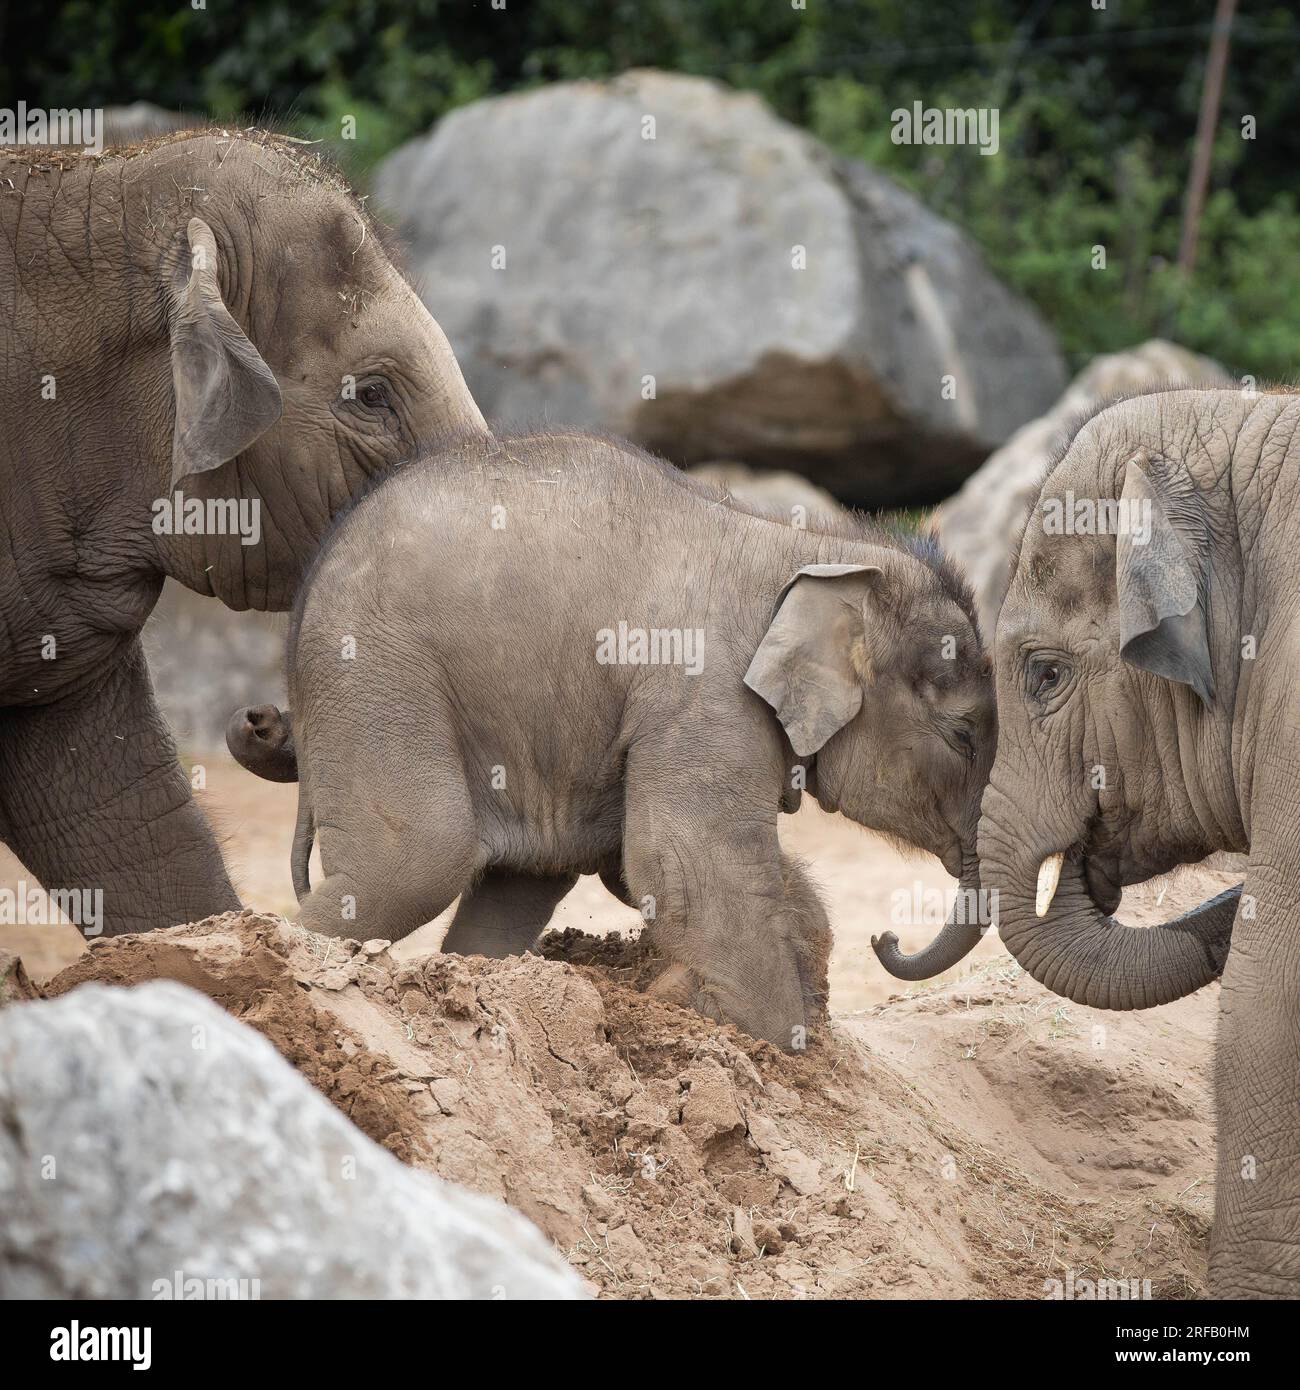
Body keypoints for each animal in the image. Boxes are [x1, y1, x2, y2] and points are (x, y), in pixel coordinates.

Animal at [230, 430, 995, 1045]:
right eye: (962, 735)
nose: (886, 937)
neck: (806, 544)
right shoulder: (703, 695)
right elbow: (685, 855)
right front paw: (777, 1037)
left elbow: (639, 861)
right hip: (376, 677)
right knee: (416, 858)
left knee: (519, 882)